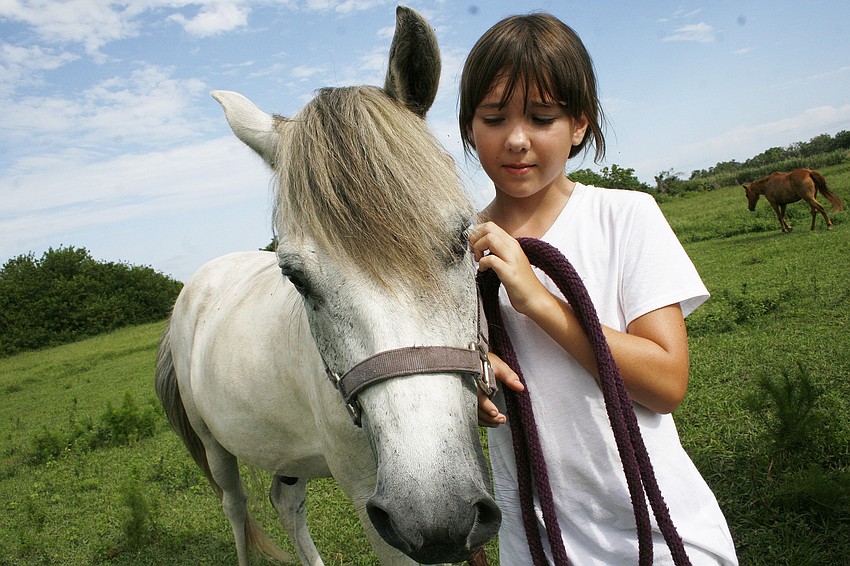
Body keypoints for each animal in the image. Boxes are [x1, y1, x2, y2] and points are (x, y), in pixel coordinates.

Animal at [155, 7, 500, 565]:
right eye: (295, 277)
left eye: (460, 240)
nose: (438, 517)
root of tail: (192, 290)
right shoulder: (369, 500)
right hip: (215, 447)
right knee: (237, 509)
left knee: (285, 502)